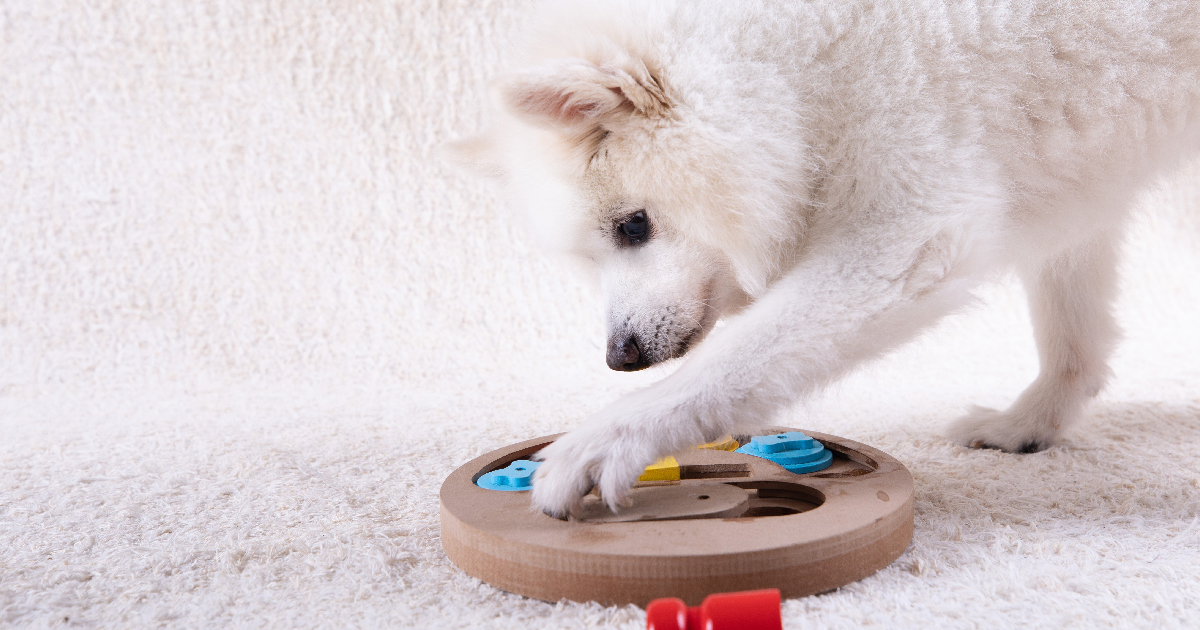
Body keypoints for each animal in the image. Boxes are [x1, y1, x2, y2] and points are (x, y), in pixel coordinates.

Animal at [451, 0, 1200, 516]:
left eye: (633, 226)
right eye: (594, 255)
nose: (620, 357)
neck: (801, 58)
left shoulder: (907, 234)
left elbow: (737, 359)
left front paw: (607, 439)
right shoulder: (1071, 176)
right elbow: (1073, 333)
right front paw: (1032, 422)